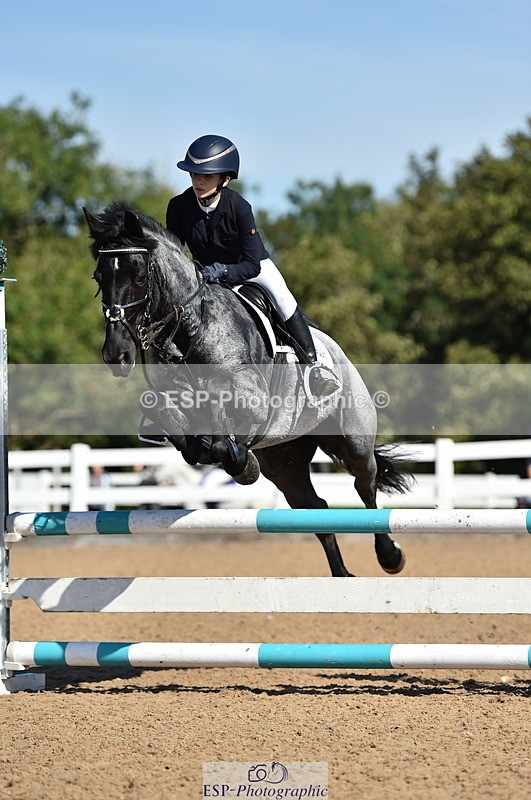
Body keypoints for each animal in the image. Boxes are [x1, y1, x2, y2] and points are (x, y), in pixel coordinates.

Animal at [84, 200, 412, 577]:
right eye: (99, 278)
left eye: (139, 278)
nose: (117, 355)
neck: (189, 330)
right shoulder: (168, 398)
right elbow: (171, 418)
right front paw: (211, 451)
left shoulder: (251, 398)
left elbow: (221, 415)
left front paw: (240, 463)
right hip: (285, 463)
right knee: (315, 509)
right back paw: (342, 575)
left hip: (353, 438)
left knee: (365, 484)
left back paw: (390, 556)